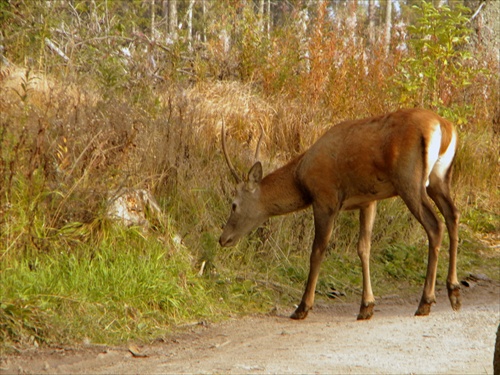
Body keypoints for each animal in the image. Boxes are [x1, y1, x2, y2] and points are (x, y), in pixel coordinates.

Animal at [219, 108, 460, 320]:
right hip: (439, 179)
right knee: (453, 215)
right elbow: (363, 248)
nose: (223, 239)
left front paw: (302, 308)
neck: (301, 178)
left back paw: (426, 301)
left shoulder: (325, 198)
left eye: (234, 204)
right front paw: (366, 306)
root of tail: (444, 127)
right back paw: (454, 291)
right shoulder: (367, 200)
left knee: (435, 225)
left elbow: (317, 251)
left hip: (409, 180)